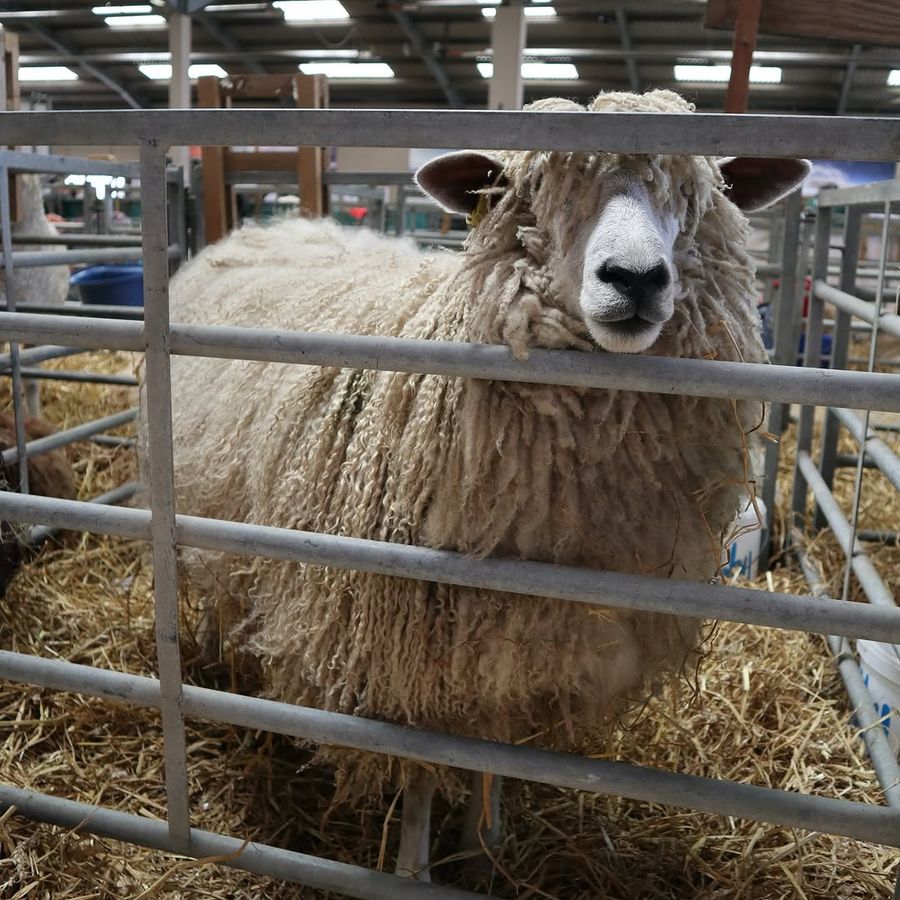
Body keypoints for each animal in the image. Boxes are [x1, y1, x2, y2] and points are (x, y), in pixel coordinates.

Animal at [159, 89, 809, 881]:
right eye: (539, 193)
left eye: (691, 197)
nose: (635, 279)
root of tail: (275, 224)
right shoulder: (405, 652)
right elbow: (419, 777)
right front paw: (415, 871)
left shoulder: (519, 648)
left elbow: (490, 758)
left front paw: (482, 850)